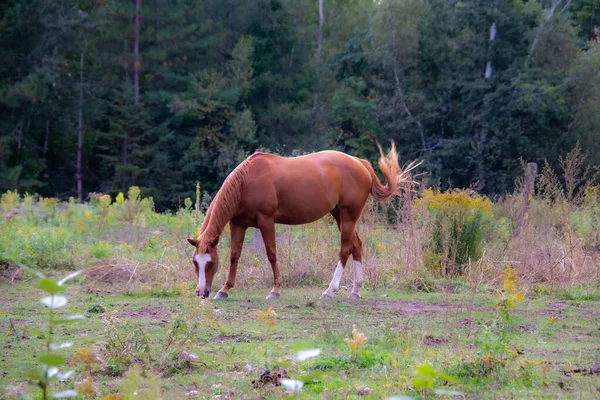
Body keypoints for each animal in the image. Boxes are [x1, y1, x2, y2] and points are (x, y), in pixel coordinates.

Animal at [188, 144, 418, 300]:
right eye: (195, 263)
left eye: (211, 263)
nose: (202, 292)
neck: (247, 182)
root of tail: (359, 163)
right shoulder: (238, 223)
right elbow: (235, 255)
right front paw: (224, 289)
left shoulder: (266, 221)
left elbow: (271, 254)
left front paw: (275, 290)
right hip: (339, 215)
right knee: (357, 246)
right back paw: (355, 290)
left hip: (348, 216)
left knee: (345, 250)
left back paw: (330, 291)